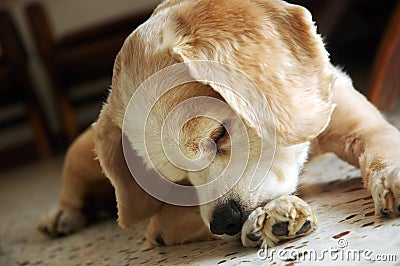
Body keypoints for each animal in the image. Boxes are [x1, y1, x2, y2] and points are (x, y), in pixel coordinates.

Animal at [39, 0, 400, 247]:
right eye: (178, 180)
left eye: (218, 134)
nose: (225, 222)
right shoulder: (164, 223)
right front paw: (270, 215)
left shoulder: (359, 123)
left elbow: (382, 145)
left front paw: (391, 177)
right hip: (82, 154)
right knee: (71, 185)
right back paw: (62, 216)